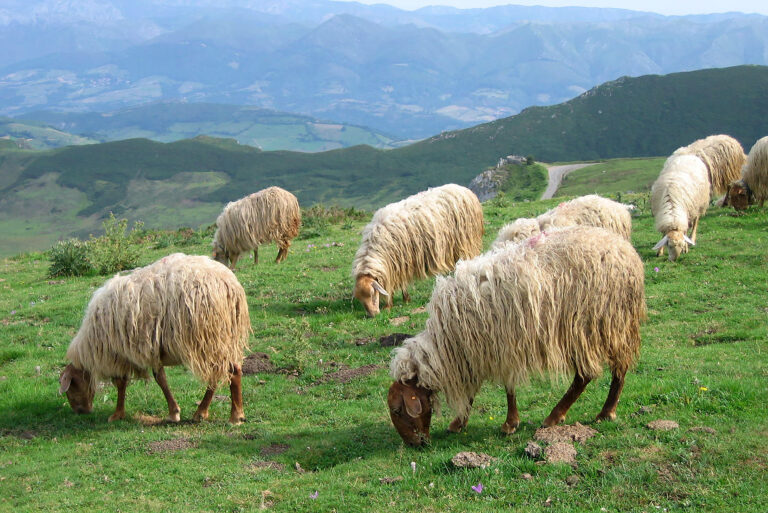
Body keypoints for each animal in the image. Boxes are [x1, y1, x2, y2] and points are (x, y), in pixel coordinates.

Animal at [59, 253, 251, 424]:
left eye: (71, 387)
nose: (81, 411)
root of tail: (230, 285)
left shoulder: (121, 352)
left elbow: (126, 383)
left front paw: (118, 414)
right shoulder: (149, 350)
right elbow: (157, 379)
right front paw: (173, 412)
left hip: (210, 336)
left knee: (230, 371)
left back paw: (235, 416)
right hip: (221, 338)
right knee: (222, 372)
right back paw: (203, 412)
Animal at [352, 184, 484, 317]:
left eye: (372, 293)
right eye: (360, 299)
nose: (372, 315)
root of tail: (465, 190)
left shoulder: (401, 261)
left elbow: (397, 282)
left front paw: (390, 304)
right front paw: (404, 299)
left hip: (467, 241)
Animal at [387, 226, 646, 446]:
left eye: (398, 410)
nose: (414, 444)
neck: (446, 344)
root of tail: (627, 252)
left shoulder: (497, 346)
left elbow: (507, 389)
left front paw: (508, 423)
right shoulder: (477, 352)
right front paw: (460, 423)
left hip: (591, 325)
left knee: (587, 375)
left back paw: (564, 416)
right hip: (613, 326)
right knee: (617, 369)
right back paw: (602, 411)